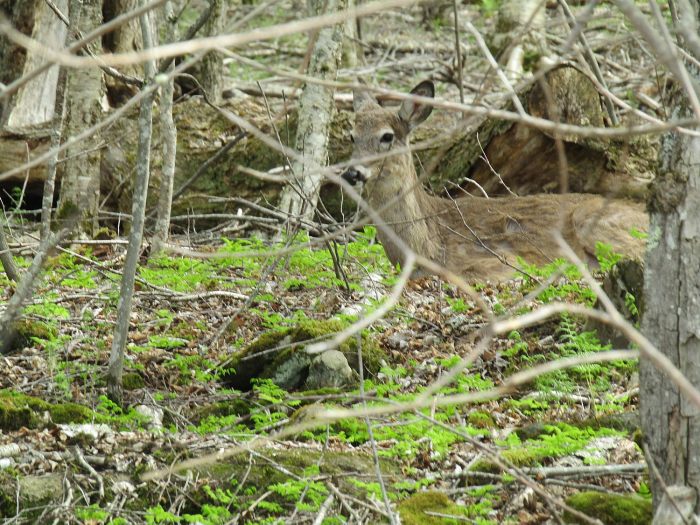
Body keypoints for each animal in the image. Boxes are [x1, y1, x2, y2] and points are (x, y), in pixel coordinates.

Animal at [341, 81, 648, 282]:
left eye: (387, 136)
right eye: (352, 136)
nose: (352, 173)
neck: (426, 247)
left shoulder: (497, 262)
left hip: (593, 221)